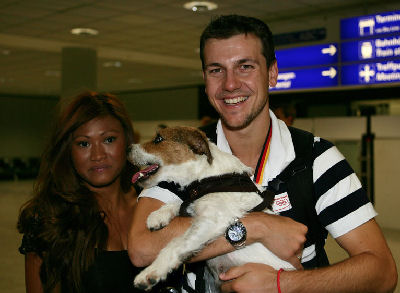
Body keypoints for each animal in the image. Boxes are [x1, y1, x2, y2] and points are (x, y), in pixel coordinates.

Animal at [128, 125, 294, 290]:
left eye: (158, 139)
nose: (128, 148)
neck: (210, 177)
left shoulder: (211, 221)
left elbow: (175, 244)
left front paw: (151, 271)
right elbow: (181, 203)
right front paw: (158, 215)